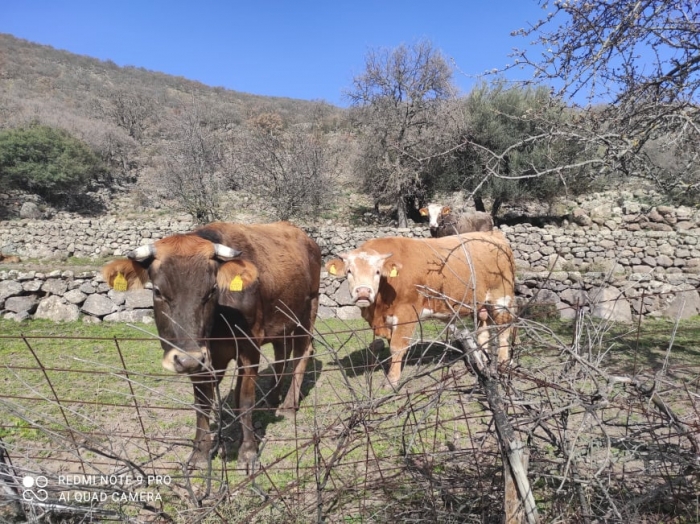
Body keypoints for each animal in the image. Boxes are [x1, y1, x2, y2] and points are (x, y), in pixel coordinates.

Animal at [101, 219, 320, 468]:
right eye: (157, 291)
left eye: (212, 290)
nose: (187, 359)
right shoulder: (201, 360)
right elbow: (203, 404)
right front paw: (200, 453)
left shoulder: (249, 349)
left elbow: (245, 400)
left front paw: (248, 452)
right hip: (280, 322)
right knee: (282, 353)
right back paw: (272, 400)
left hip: (308, 309)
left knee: (302, 352)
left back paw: (289, 406)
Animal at [326, 231, 516, 386]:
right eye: (349, 271)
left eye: (378, 272)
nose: (363, 292)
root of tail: (493, 235)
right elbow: (391, 345)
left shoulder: (406, 313)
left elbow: (397, 346)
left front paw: (392, 380)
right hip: (481, 305)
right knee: (483, 332)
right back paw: (482, 360)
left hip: (501, 299)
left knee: (504, 331)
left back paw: (502, 364)